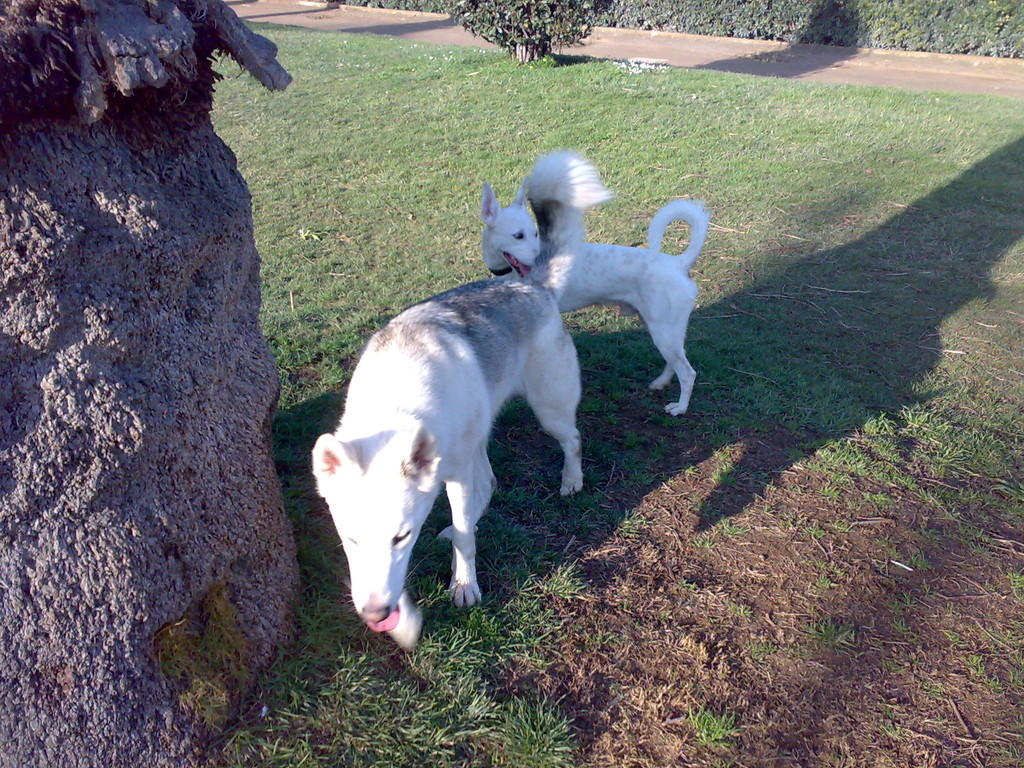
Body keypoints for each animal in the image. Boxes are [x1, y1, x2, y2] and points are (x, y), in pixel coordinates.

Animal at [311, 280, 585, 651]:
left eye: (402, 537)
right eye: (351, 539)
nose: (376, 614)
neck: (392, 406)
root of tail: (532, 284)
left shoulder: (456, 478)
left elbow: (466, 541)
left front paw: (464, 584)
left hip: (548, 411)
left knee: (572, 440)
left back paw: (571, 480)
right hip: (480, 437)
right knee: (488, 483)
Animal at [477, 150, 704, 415]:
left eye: (535, 233)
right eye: (518, 236)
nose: (544, 258)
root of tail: (678, 263)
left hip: (664, 331)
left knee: (688, 373)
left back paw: (680, 407)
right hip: (661, 328)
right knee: (675, 361)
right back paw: (661, 383)